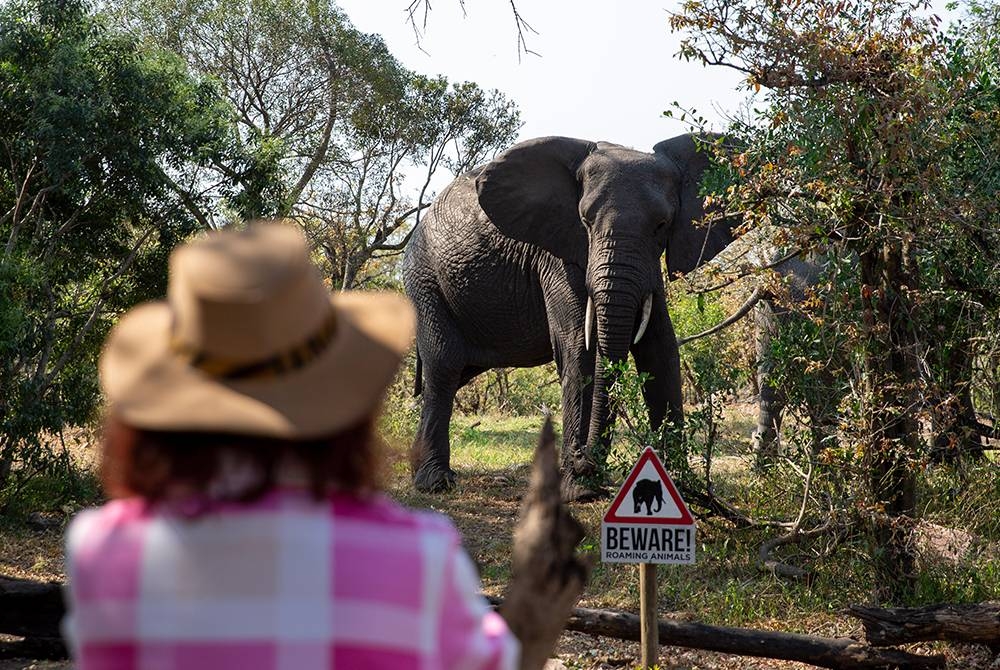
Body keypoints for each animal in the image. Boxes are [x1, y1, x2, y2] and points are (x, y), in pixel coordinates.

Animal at [402, 134, 740, 498]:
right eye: (586, 222)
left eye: (661, 225)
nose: (583, 460)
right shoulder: (554, 255)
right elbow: (580, 346)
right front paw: (580, 491)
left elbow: (659, 349)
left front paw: (680, 486)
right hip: (424, 279)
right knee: (445, 365)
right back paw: (435, 483)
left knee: (456, 372)